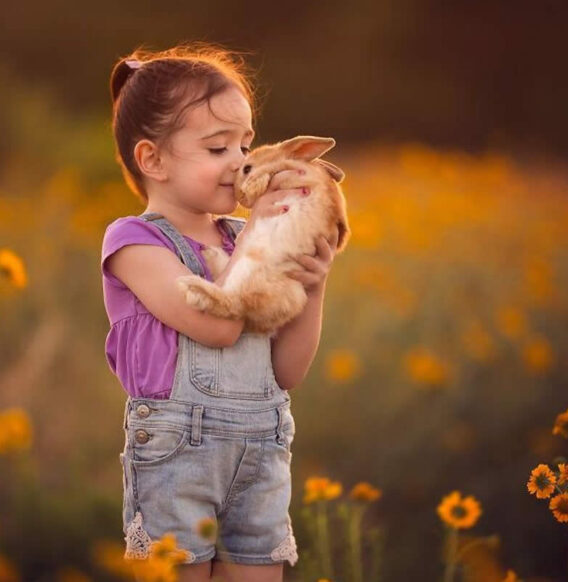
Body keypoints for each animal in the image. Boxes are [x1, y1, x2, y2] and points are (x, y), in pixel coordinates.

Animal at [175, 135, 348, 336]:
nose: (239, 195)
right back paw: (209, 254)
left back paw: (193, 285)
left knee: (232, 303)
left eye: (247, 168)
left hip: (248, 268)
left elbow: (264, 174)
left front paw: (252, 185)